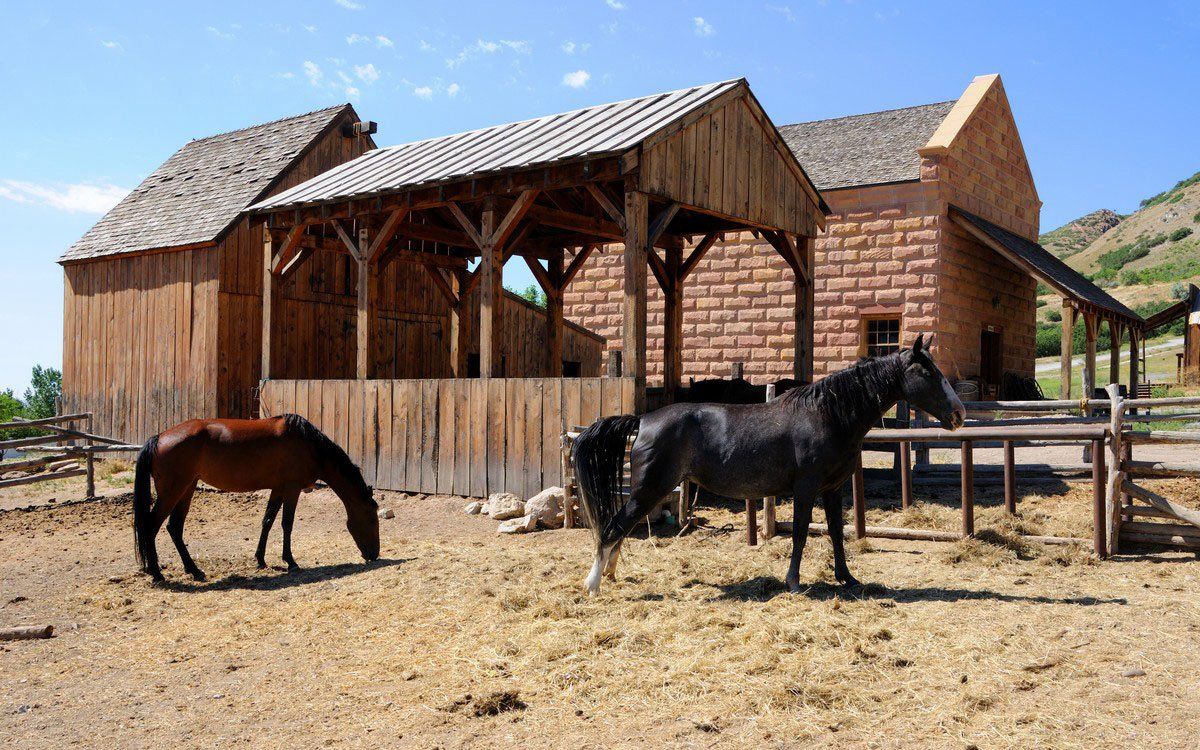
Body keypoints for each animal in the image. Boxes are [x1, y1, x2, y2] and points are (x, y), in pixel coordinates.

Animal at [132, 414, 379, 582]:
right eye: (372, 517)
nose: (374, 554)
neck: (308, 445)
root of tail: (159, 438)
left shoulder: (278, 489)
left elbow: (267, 521)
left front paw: (260, 559)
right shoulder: (292, 489)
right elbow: (287, 524)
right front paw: (291, 562)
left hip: (187, 489)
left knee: (174, 527)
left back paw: (193, 570)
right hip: (173, 492)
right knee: (151, 525)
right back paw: (157, 573)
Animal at [572, 334, 966, 595]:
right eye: (928, 373)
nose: (959, 414)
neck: (827, 414)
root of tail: (643, 420)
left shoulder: (833, 489)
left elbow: (836, 533)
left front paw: (846, 578)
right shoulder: (806, 488)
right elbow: (801, 533)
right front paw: (794, 583)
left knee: (619, 529)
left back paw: (610, 576)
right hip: (649, 488)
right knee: (612, 528)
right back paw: (593, 585)